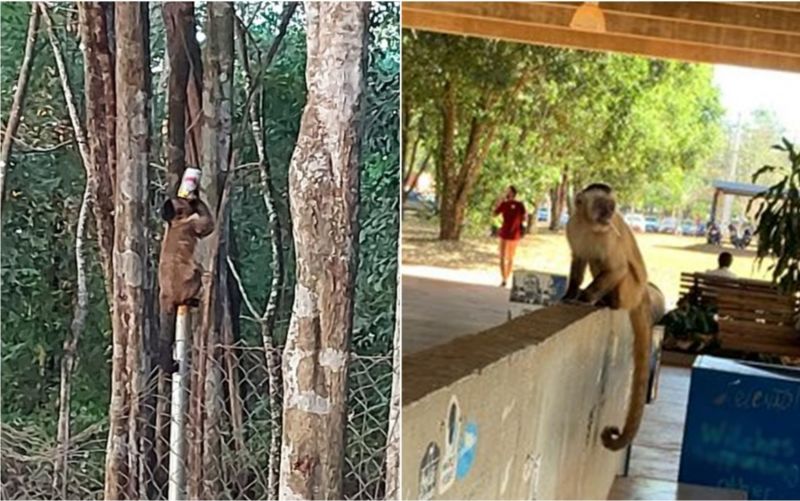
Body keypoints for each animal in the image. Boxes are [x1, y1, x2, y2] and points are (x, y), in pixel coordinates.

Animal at [155, 195, 212, 372]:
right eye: (181, 200)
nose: (185, 198)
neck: (175, 223)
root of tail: (165, 294)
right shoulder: (190, 225)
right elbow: (208, 226)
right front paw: (196, 199)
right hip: (184, 287)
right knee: (196, 273)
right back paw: (189, 300)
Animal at [564, 183, 656, 450]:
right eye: (601, 206)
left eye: (611, 207)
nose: (607, 215)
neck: (588, 225)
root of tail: (643, 292)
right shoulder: (573, 227)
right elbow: (578, 259)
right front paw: (569, 294)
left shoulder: (606, 236)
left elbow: (617, 268)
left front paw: (584, 298)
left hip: (630, 290)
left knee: (610, 265)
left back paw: (608, 302)